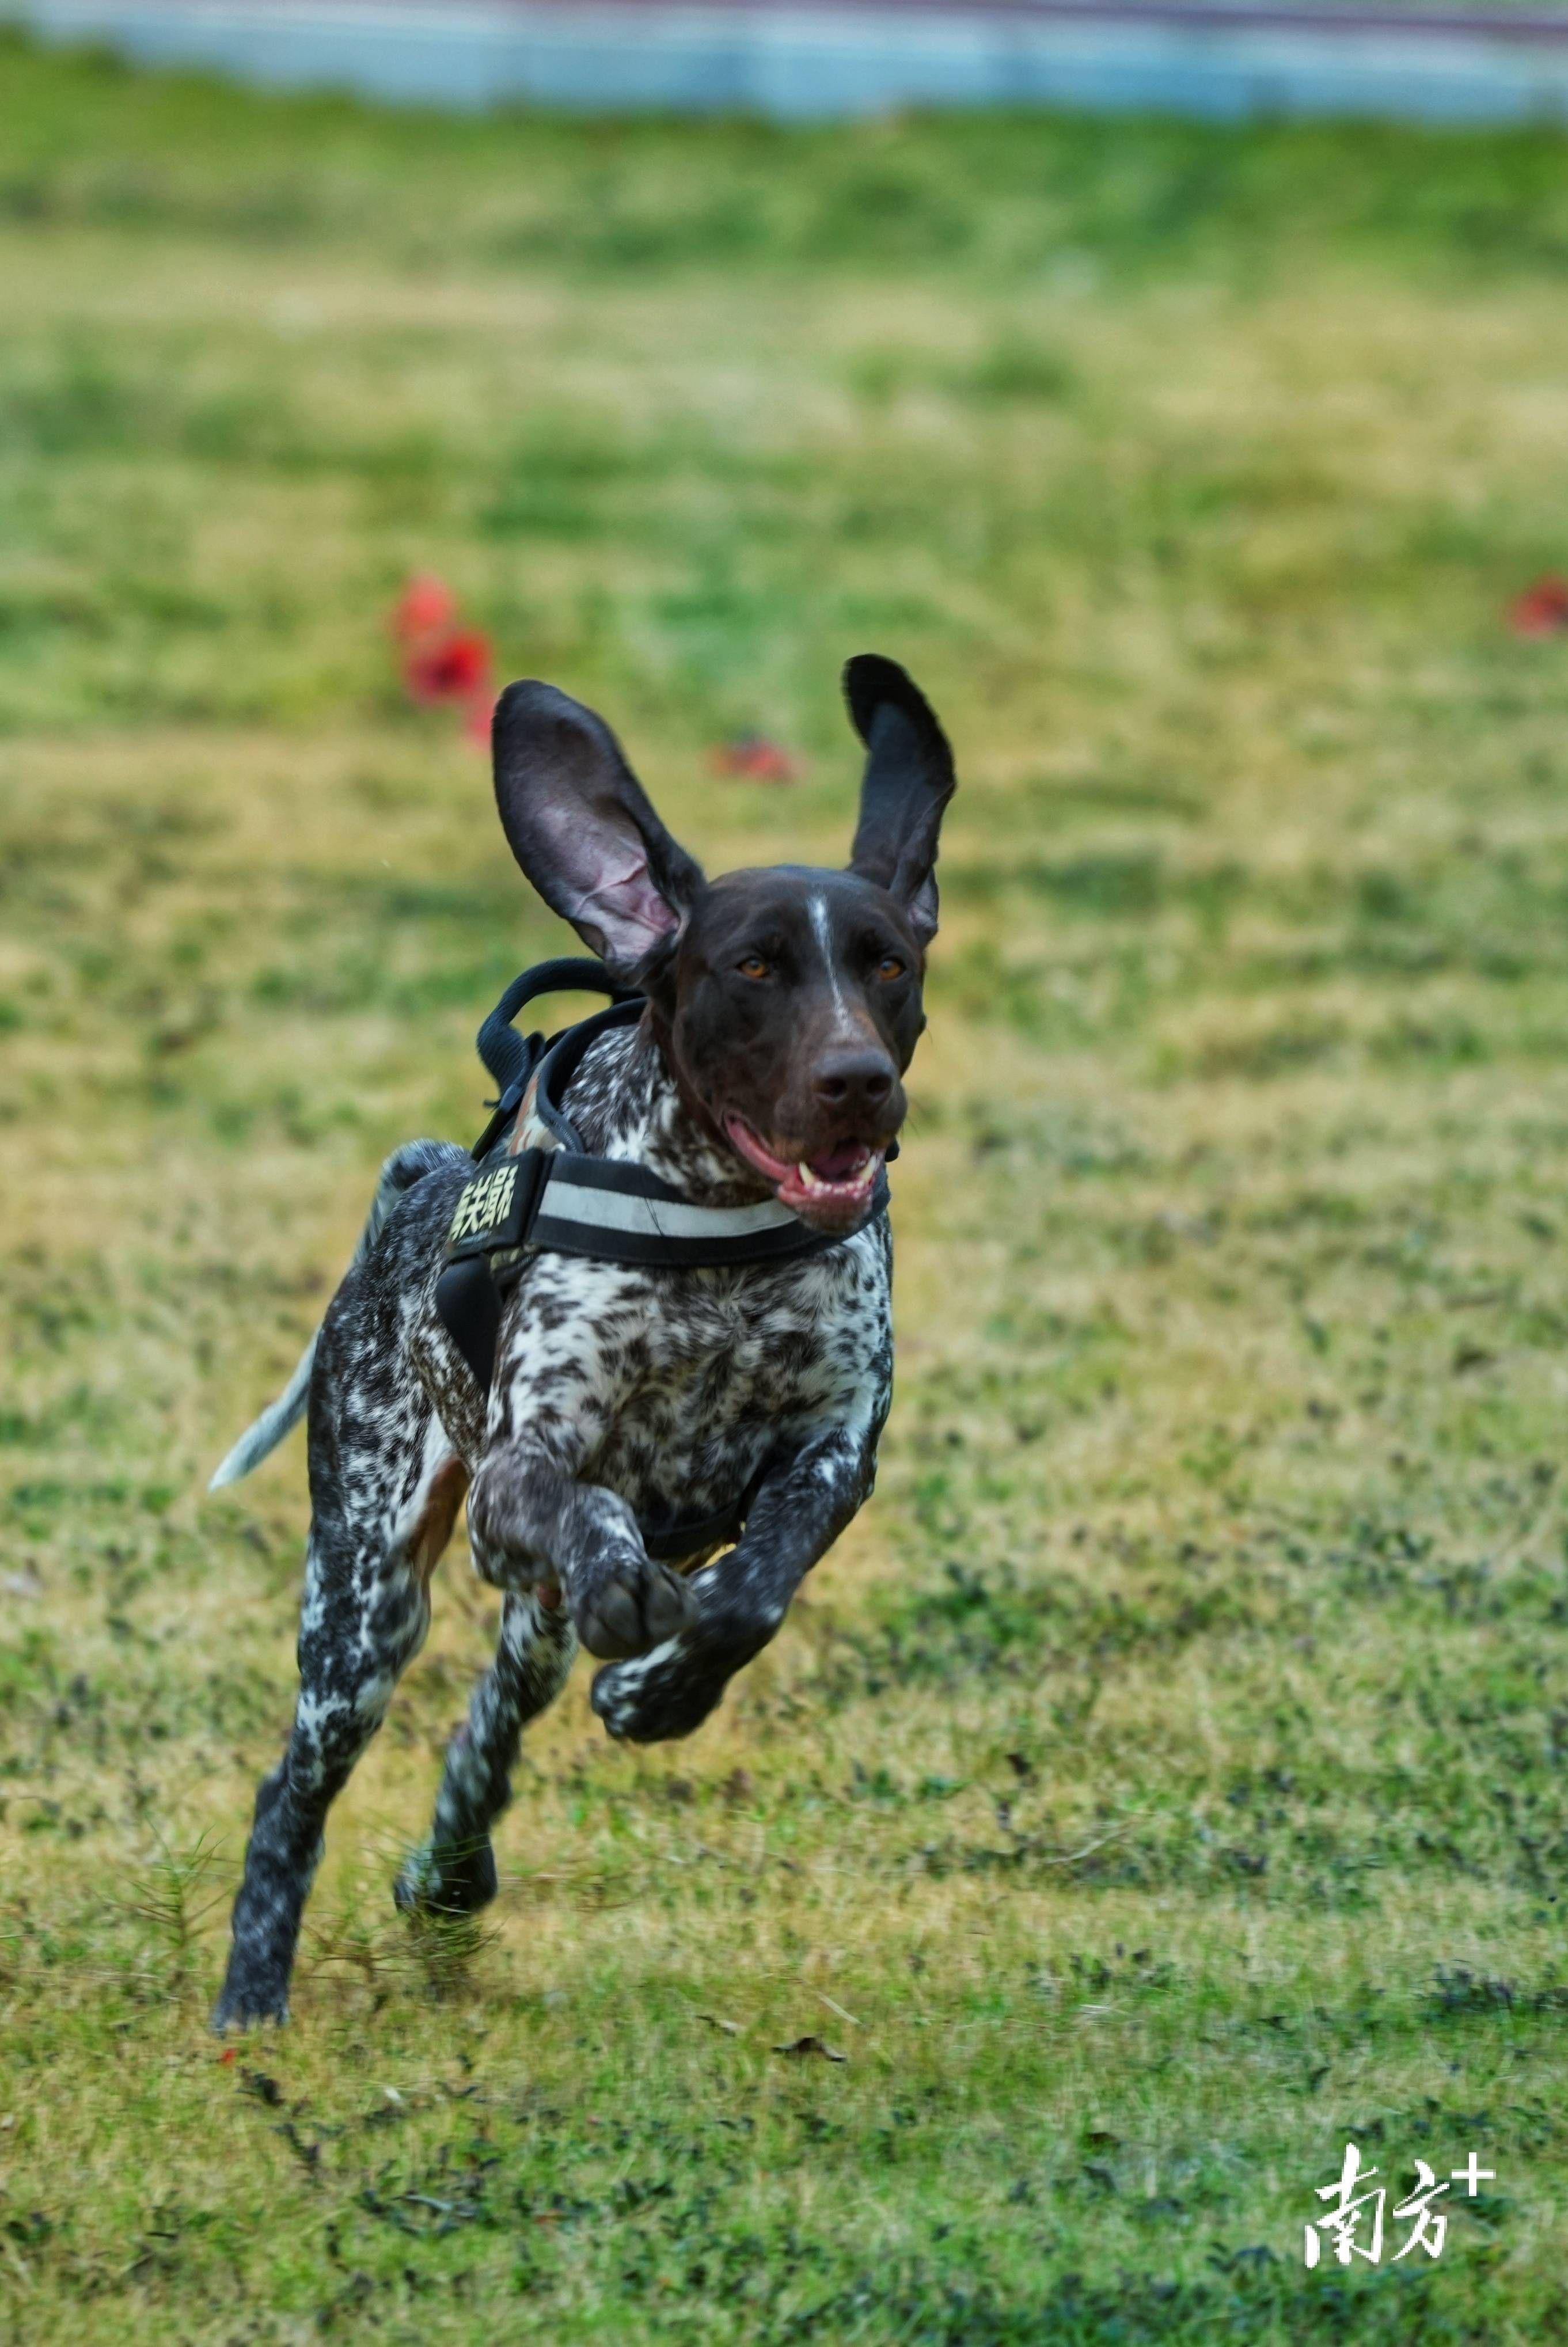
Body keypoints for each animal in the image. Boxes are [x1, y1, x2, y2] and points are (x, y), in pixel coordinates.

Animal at [210, 652, 958, 2027]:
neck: (721, 1246)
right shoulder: (524, 1475)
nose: (857, 1083)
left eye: (885, 965)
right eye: (753, 969)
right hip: (364, 1605)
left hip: (510, 1626)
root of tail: (419, 1184)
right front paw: (629, 1591)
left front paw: (660, 1688)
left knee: (489, 1725)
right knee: (294, 1788)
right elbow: (595, 1516)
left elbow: (750, 1592)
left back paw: (451, 1872)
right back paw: (250, 2006)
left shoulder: (832, 1458)